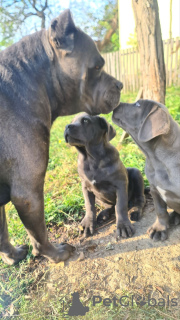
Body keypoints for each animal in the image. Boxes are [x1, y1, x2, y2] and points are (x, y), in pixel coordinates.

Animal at [0, 10, 122, 264]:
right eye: (98, 66)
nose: (121, 84)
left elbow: (2, 231)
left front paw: (13, 256)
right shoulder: (28, 192)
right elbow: (38, 233)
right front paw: (55, 254)